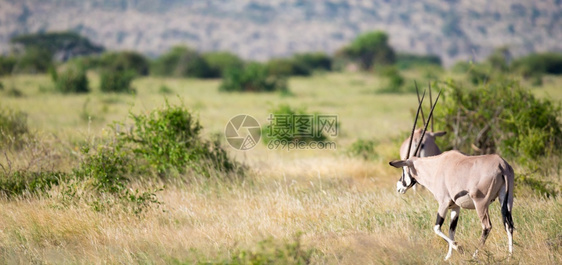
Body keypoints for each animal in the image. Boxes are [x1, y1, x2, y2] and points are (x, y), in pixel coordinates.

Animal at [388, 89, 516, 258]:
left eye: (403, 169)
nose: (399, 187)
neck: (436, 167)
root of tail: (502, 165)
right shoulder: (455, 207)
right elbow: (451, 230)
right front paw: (448, 257)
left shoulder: (443, 203)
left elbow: (437, 228)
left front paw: (458, 248)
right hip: (506, 199)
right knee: (508, 224)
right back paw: (510, 256)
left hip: (481, 203)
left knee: (487, 226)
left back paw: (475, 256)